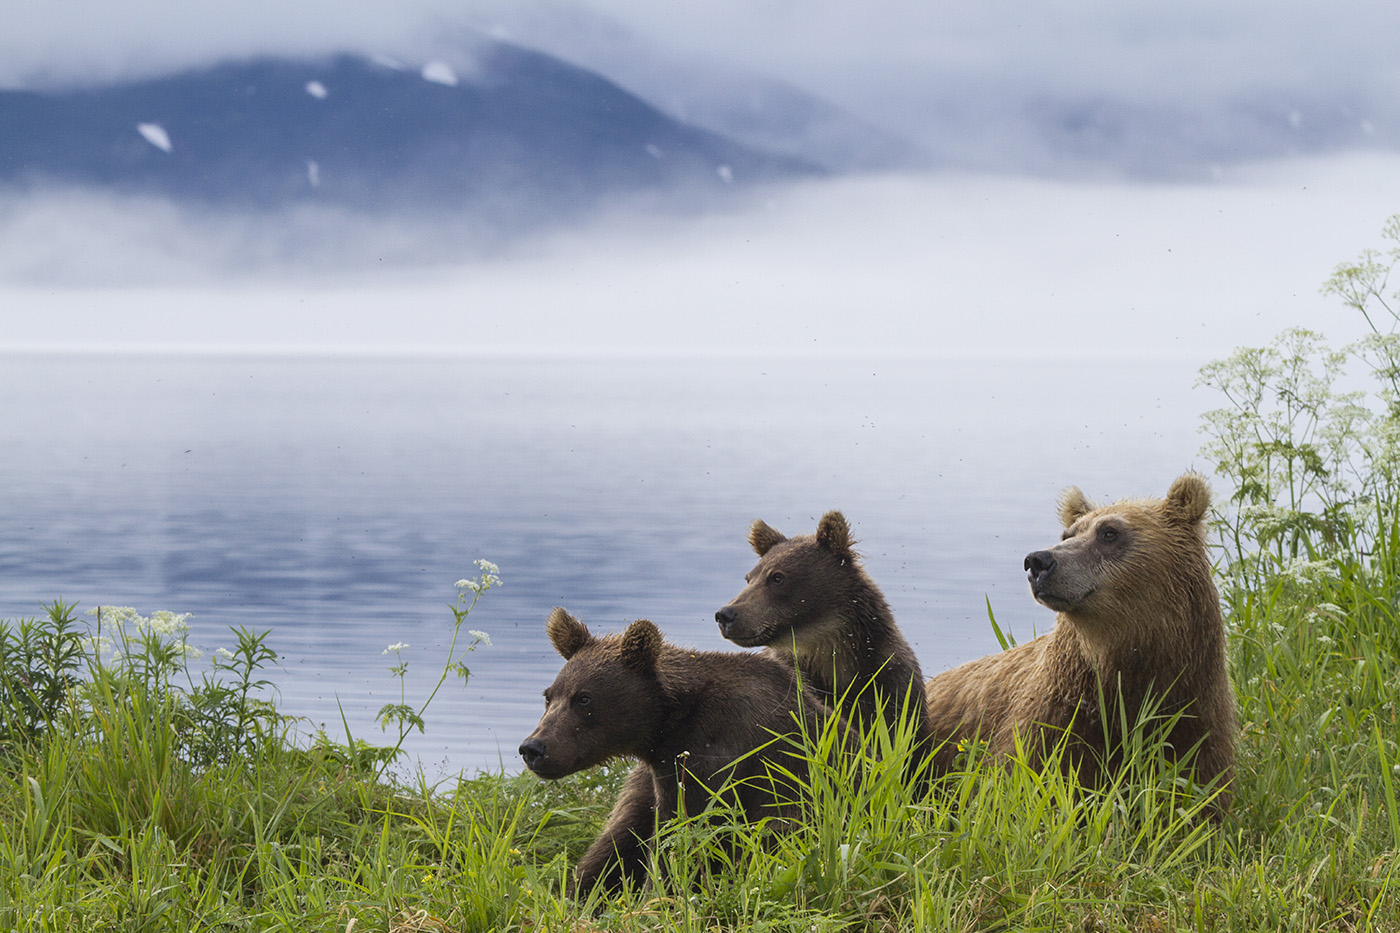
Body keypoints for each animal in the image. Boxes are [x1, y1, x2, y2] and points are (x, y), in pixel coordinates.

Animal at [520, 607, 834, 890]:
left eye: (584, 698)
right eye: (549, 696)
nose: (533, 748)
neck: (668, 723)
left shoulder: (712, 757)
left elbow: (681, 840)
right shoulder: (653, 778)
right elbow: (617, 846)